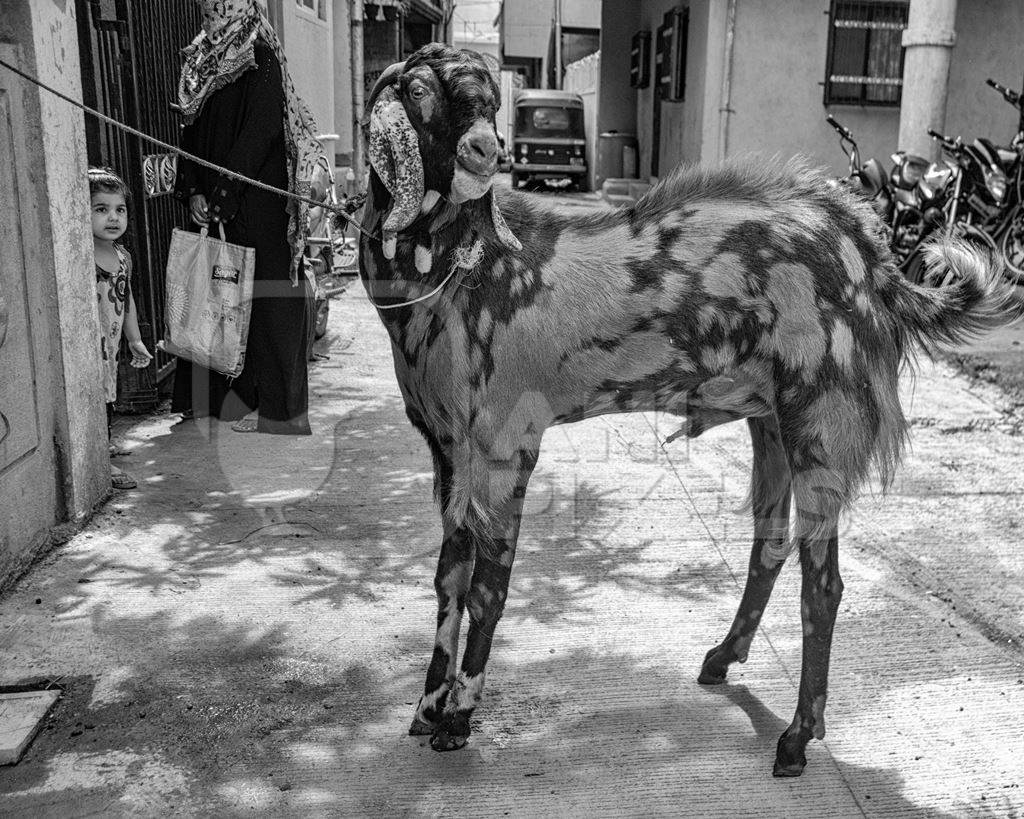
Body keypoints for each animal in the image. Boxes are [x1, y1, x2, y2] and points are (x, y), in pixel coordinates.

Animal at [354, 43, 1015, 773]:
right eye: (418, 90)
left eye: (491, 102)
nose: (484, 149)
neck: (468, 265)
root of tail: (875, 259)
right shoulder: (447, 447)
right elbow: (448, 577)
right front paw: (424, 708)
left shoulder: (505, 437)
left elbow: (486, 588)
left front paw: (458, 718)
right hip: (771, 420)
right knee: (769, 544)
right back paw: (725, 658)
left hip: (822, 418)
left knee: (824, 583)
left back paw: (797, 736)